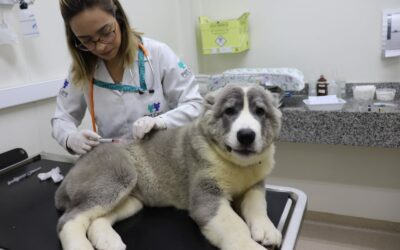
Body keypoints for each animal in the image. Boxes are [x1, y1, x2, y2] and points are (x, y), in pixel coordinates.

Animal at [55, 84, 282, 250]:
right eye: (229, 111)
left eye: (260, 111)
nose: (246, 135)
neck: (235, 164)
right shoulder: (207, 198)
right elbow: (235, 226)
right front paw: (251, 245)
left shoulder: (255, 186)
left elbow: (257, 205)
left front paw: (266, 229)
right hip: (116, 178)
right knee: (68, 220)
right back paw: (80, 246)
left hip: (130, 201)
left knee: (96, 219)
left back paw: (108, 242)